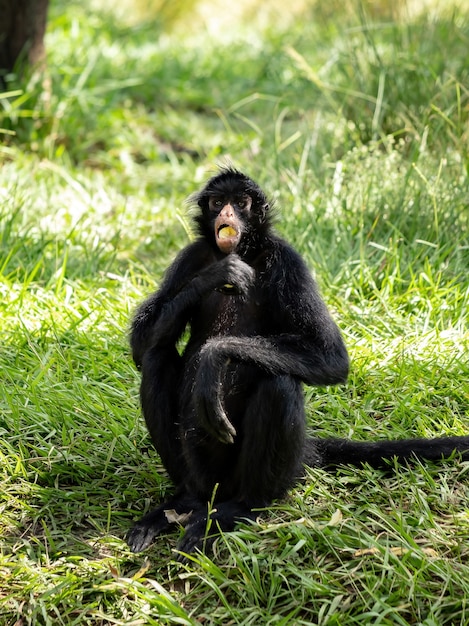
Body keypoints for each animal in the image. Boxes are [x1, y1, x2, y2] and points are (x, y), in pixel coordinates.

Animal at [126, 167, 468, 556]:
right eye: (217, 203)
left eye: (240, 202)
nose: (226, 214)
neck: (248, 253)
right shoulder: (193, 255)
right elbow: (141, 343)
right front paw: (218, 275)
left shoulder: (286, 259)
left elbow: (331, 357)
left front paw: (214, 359)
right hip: (201, 471)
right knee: (157, 357)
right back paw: (187, 502)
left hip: (267, 472)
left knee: (278, 382)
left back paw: (239, 508)